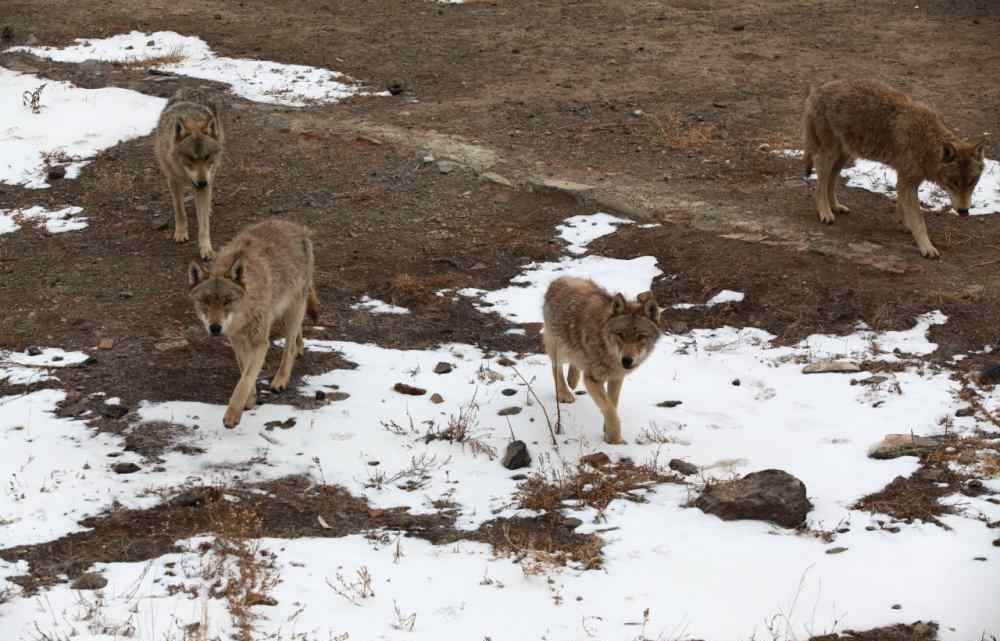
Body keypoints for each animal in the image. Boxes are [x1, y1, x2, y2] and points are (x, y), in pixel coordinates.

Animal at [154, 85, 225, 260]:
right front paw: (180, 233)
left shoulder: (203, 184)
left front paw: (206, 249)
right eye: (190, 158)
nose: (202, 182)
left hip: (213, 172)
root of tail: (196, 88)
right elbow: (179, 210)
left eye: (206, 156)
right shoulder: (173, 180)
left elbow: (204, 225)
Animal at [800, 79, 988, 258]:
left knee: (831, 181)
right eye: (954, 183)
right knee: (820, 185)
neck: (925, 141)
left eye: (972, 182)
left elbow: (903, 207)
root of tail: (816, 90)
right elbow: (919, 220)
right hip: (829, 154)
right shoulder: (907, 182)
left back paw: (836, 207)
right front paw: (926, 247)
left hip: (844, 155)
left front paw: (905, 226)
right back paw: (825, 213)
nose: (964, 211)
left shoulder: (904, 180)